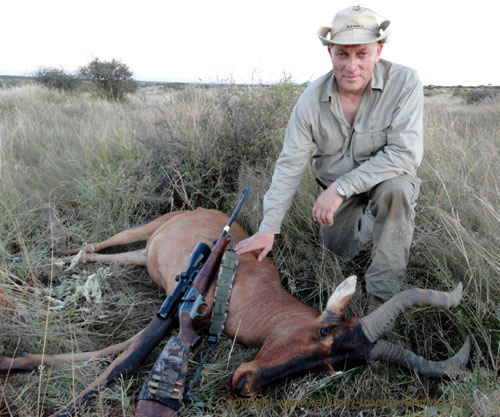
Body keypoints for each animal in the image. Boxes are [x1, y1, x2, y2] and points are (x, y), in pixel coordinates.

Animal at [0, 207, 468, 412]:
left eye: (332, 368)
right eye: (323, 332)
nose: (247, 383)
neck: (246, 281)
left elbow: (115, 352)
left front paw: (13, 363)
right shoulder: (176, 308)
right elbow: (124, 358)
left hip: (142, 257)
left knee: (100, 255)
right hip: (144, 228)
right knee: (96, 242)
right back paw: (38, 261)